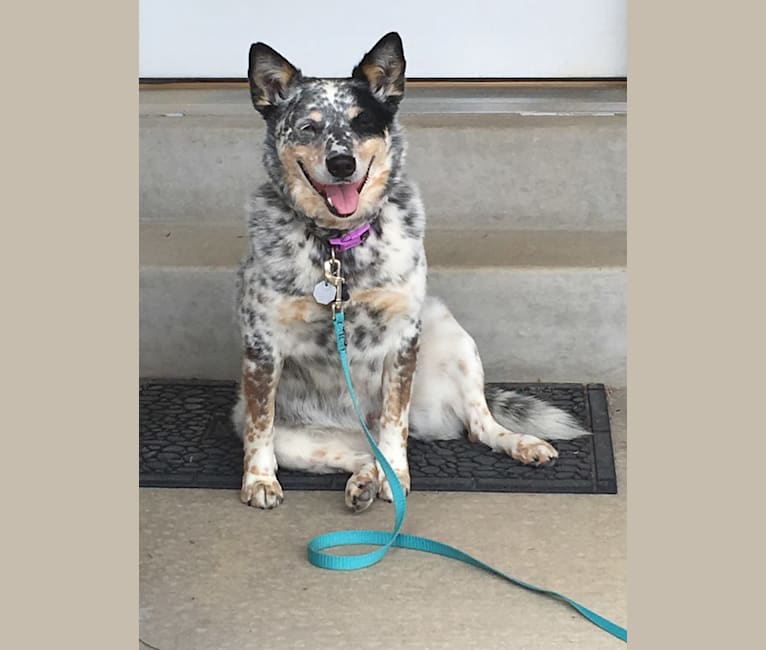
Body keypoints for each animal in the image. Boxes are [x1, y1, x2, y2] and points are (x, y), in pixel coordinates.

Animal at [234, 34, 588, 512]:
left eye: (362, 122)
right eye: (308, 127)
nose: (342, 163)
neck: (339, 248)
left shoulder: (403, 341)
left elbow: (394, 424)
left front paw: (397, 477)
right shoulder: (262, 345)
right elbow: (260, 426)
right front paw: (259, 480)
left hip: (449, 331)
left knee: (477, 425)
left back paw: (519, 443)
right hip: (304, 442)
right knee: (356, 453)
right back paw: (363, 481)